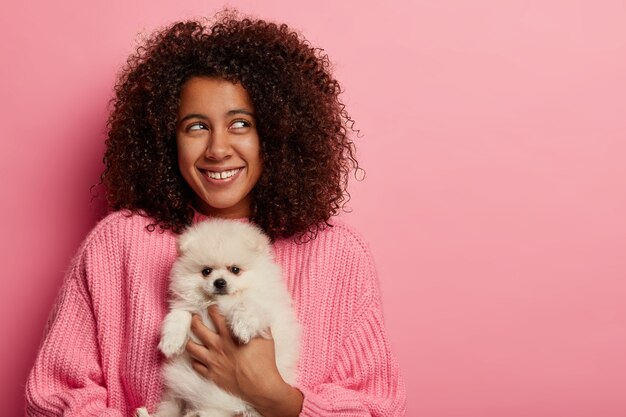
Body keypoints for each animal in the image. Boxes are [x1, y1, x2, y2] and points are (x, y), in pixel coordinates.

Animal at [138, 219, 298, 414]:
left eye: (235, 270)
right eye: (206, 271)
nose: (219, 282)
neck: (219, 301)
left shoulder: (266, 303)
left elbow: (248, 304)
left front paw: (242, 328)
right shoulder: (188, 306)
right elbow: (178, 316)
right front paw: (171, 342)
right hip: (175, 398)